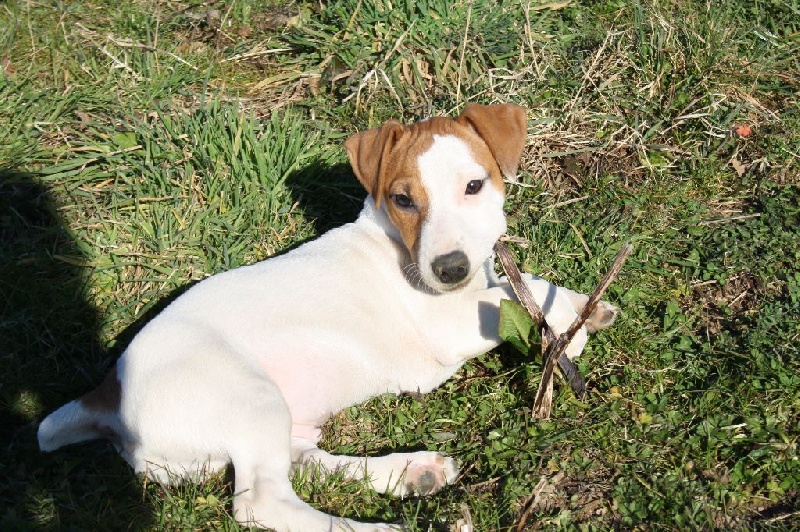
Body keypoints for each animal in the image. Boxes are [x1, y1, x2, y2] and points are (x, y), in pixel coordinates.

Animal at [37, 103, 620, 528]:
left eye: (474, 186)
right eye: (403, 200)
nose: (448, 268)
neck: (400, 248)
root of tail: (107, 393)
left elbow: (518, 285)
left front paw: (581, 313)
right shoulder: (447, 322)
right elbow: (512, 296)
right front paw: (570, 329)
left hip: (278, 420)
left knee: (306, 467)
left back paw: (410, 472)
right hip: (249, 396)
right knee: (261, 502)